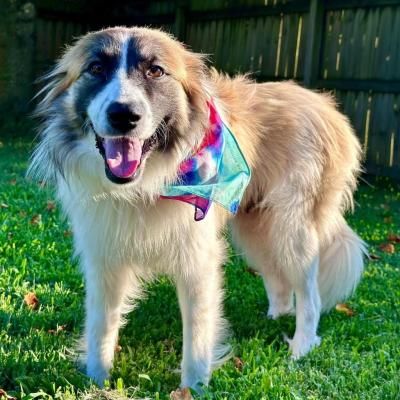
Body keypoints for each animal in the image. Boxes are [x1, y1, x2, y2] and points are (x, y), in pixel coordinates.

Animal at [27, 25, 366, 390]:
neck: (147, 185)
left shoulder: (198, 261)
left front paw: (192, 388)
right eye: (96, 68)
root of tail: (325, 105)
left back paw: (301, 347)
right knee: (278, 279)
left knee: (309, 295)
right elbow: (100, 328)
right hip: (256, 226)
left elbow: (197, 337)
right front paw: (97, 382)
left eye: (155, 71)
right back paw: (275, 317)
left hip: (289, 228)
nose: (123, 115)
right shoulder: (105, 258)